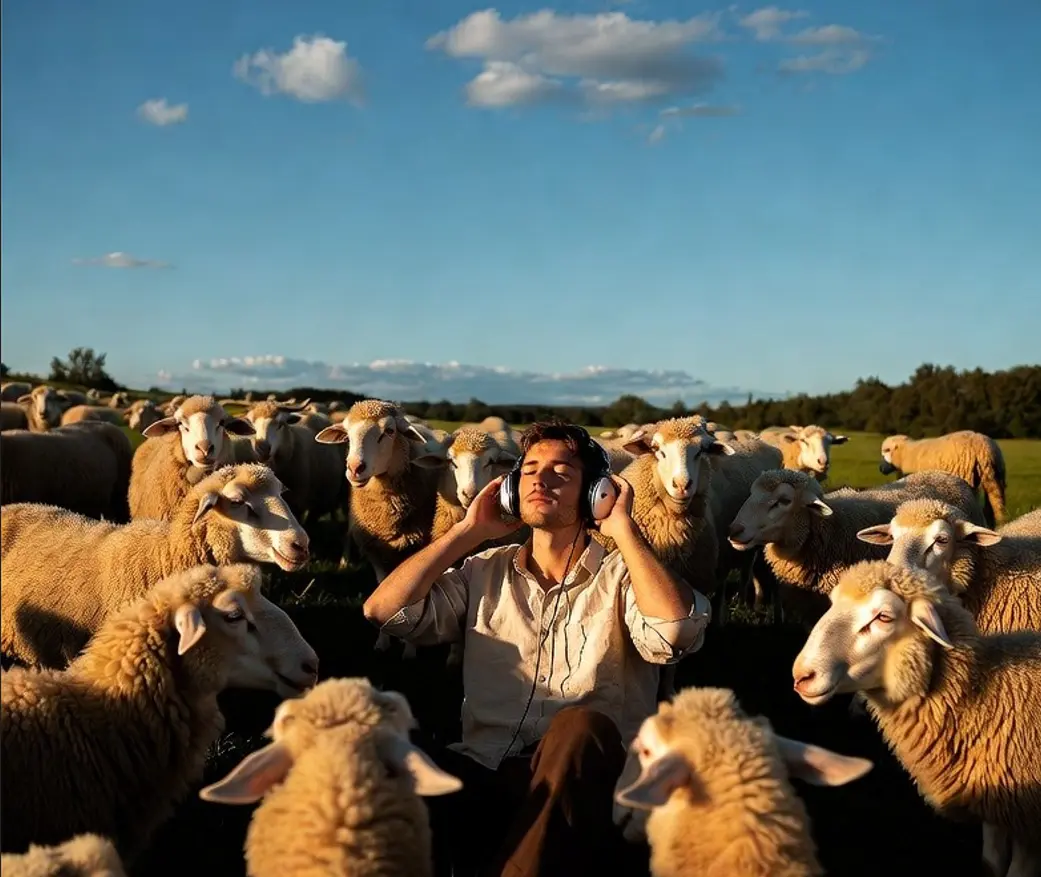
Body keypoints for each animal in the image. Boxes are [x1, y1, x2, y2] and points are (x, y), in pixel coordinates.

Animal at [792, 561, 1041, 877]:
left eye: (884, 616)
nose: (802, 676)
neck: (984, 696)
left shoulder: (1028, 826)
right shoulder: (997, 807)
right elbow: (991, 864)